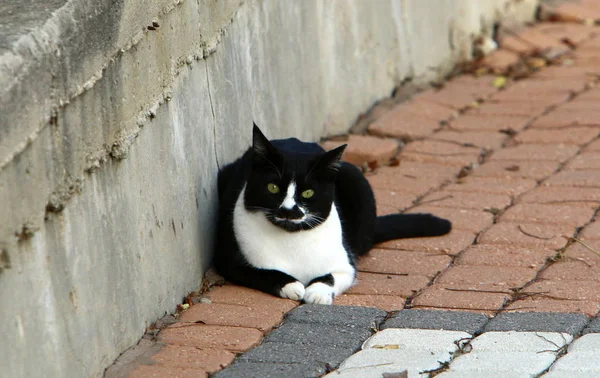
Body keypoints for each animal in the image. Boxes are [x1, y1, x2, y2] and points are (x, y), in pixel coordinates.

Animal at [214, 124, 450, 304]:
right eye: (272, 188)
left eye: (308, 193)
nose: (289, 210)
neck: (292, 240)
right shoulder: (232, 263)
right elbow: (266, 273)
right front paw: (292, 285)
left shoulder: (346, 266)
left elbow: (330, 277)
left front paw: (316, 292)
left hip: (354, 176)